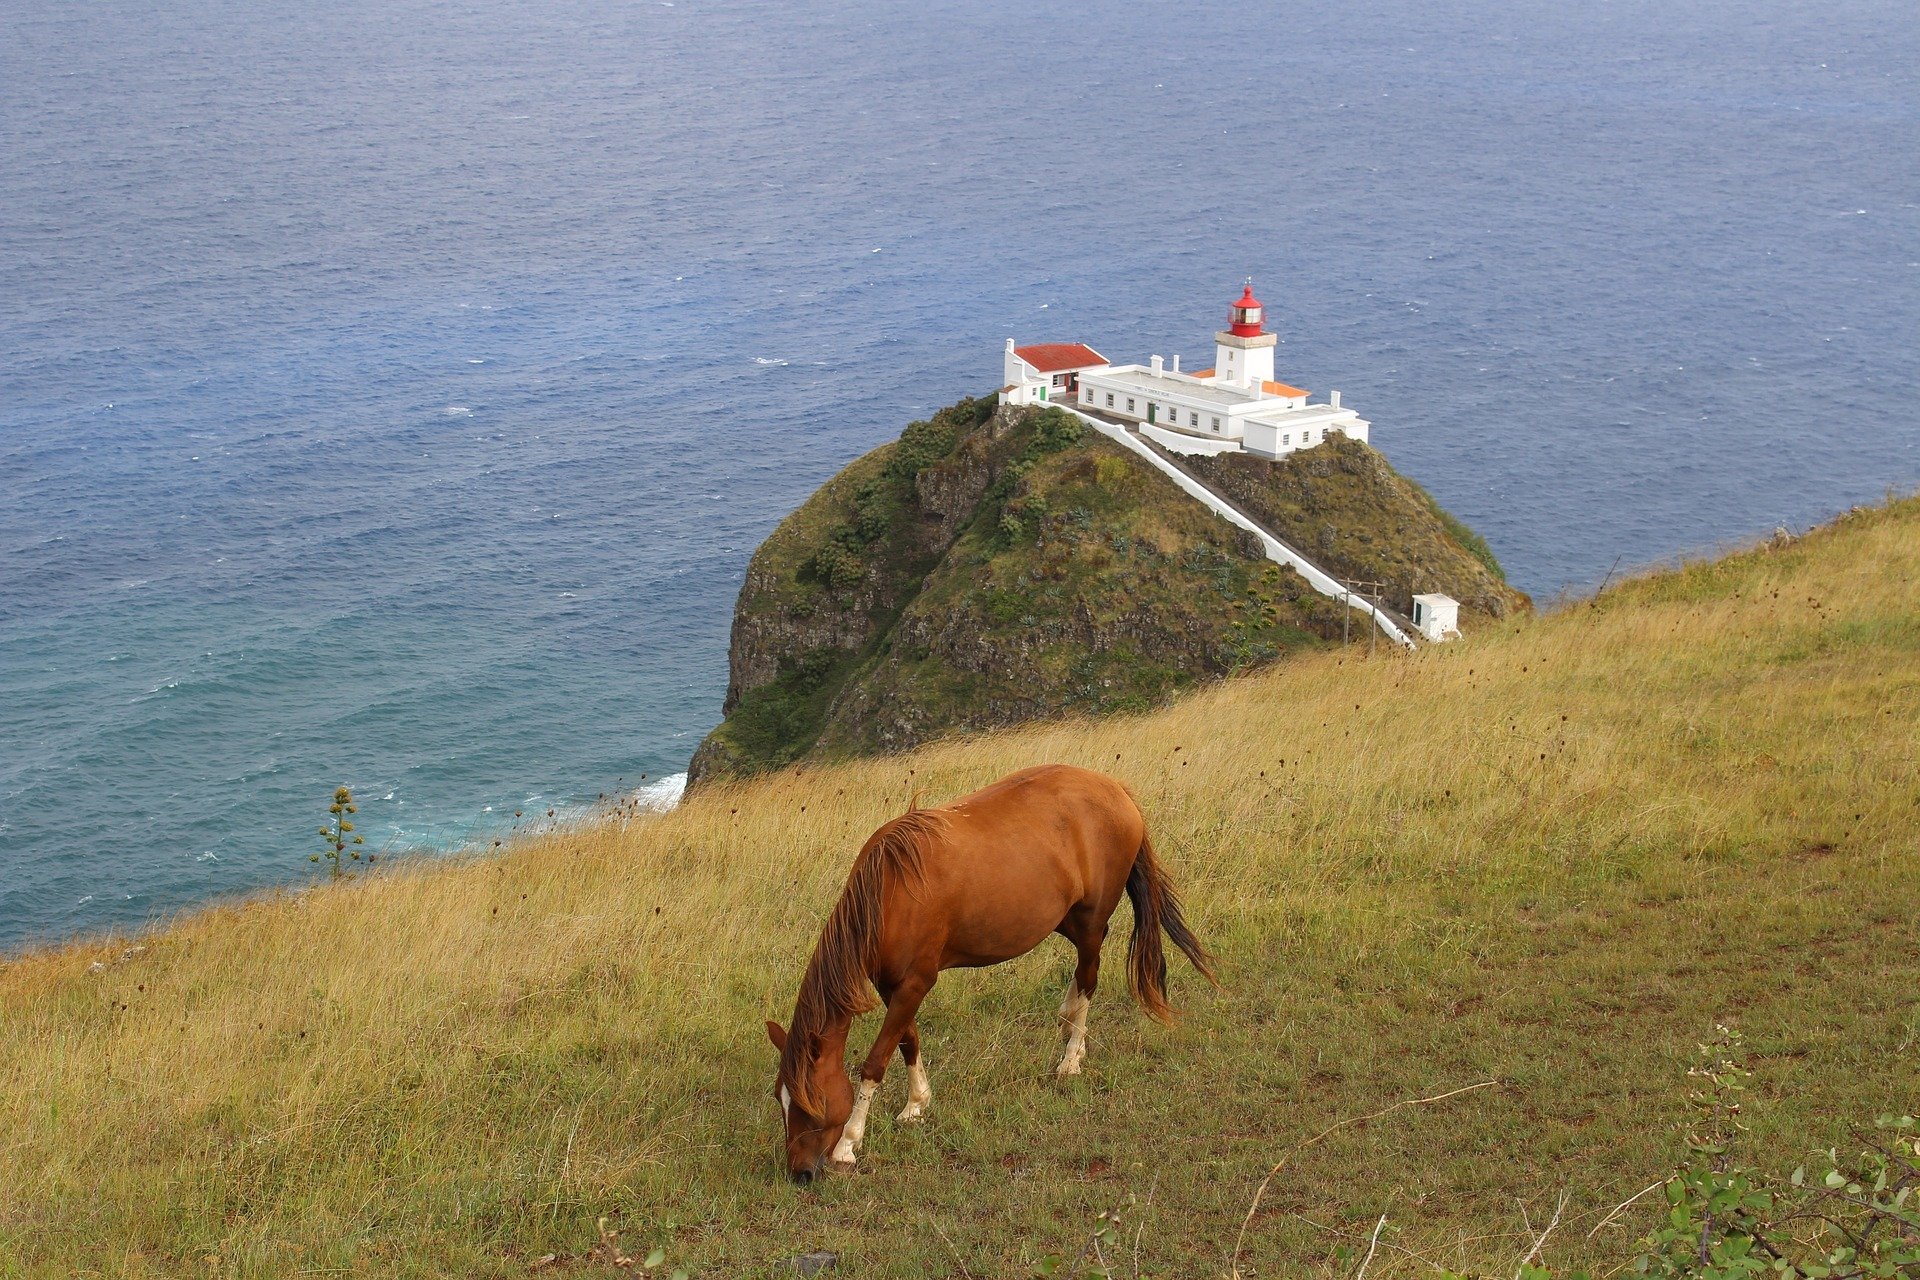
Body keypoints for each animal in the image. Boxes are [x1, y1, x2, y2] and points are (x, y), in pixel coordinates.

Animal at [756, 767, 1205, 1189]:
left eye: (810, 1102)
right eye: (780, 1100)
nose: (799, 1173)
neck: (890, 893)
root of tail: (1115, 789)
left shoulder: (916, 983)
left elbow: (875, 1062)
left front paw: (849, 1144)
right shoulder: (892, 986)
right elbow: (908, 1041)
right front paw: (916, 1104)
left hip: (1091, 920)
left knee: (1089, 977)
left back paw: (1070, 1058)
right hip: (1066, 919)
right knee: (1080, 977)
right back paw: (1067, 1025)